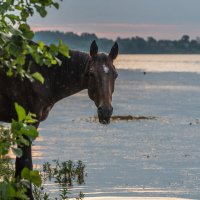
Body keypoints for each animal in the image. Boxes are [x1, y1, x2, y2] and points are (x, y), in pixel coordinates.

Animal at [0, 40, 119, 198]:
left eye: (115, 74)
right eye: (91, 74)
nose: (105, 111)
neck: (47, 75)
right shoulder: (29, 122)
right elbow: (25, 164)